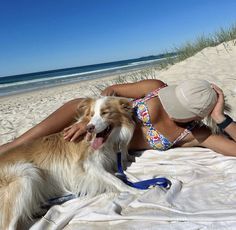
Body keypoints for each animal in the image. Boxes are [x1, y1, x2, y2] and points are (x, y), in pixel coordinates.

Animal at [0, 96, 136, 229]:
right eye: (91, 115)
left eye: (105, 113)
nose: (89, 128)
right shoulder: (88, 165)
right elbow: (116, 180)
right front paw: (134, 190)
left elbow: (117, 173)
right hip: (24, 173)